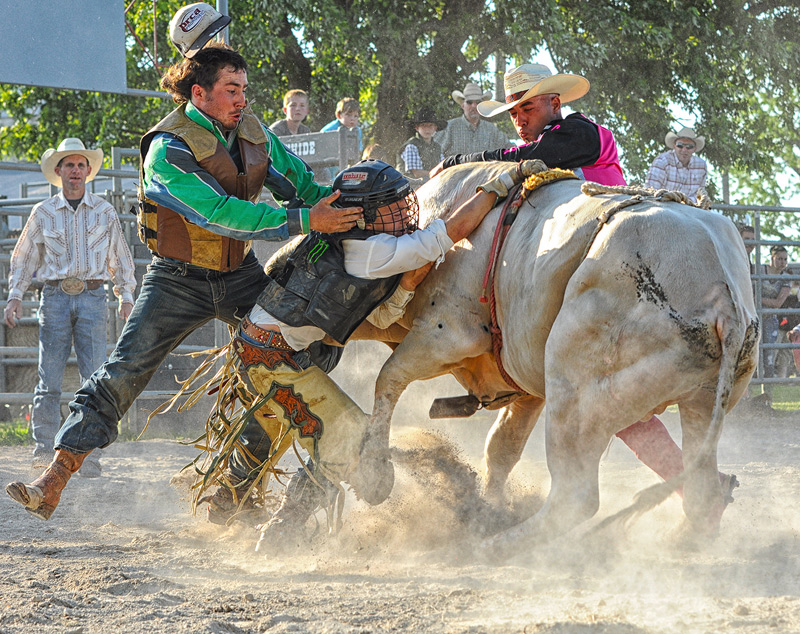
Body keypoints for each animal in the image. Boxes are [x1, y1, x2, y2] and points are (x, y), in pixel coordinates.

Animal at [354, 162, 760, 548]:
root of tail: (721, 296)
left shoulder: (447, 333)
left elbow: (389, 377)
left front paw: (374, 473)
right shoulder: (523, 381)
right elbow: (501, 447)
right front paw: (488, 508)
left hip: (574, 389)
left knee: (575, 496)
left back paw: (498, 544)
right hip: (699, 402)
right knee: (699, 483)